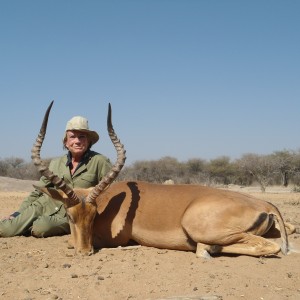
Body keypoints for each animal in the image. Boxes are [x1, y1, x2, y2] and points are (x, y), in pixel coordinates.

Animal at [31, 102, 296, 256]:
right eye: (70, 215)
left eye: (94, 215)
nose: (85, 252)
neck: (110, 202)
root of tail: (265, 204)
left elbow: (68, 241)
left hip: (203, 229)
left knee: (268, 246)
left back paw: (206, 249)